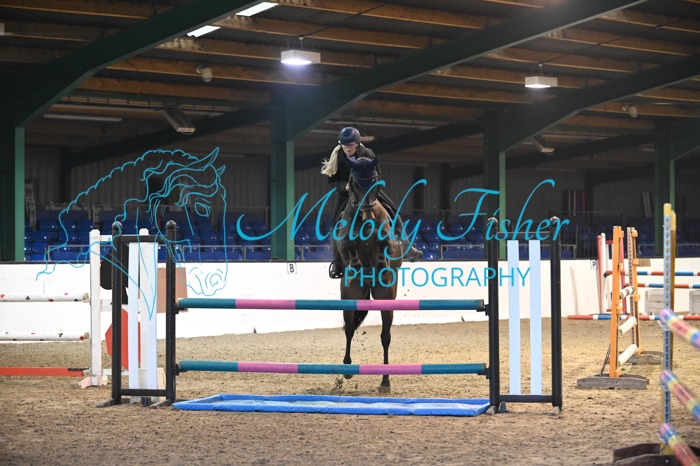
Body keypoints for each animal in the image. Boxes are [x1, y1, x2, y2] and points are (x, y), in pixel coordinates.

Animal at [335, 156, 403, 393]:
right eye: (355, 184)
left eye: (375, 182)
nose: (368, 216)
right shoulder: (344, 242)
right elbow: (348, 245)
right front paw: (356, 262)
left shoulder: (388, 240)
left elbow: (384, 242)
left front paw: (381, 263)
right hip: (351, 295)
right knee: (348, 329)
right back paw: (347, 369)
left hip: (385, 297)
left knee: (386, 336)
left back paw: (385, 380)